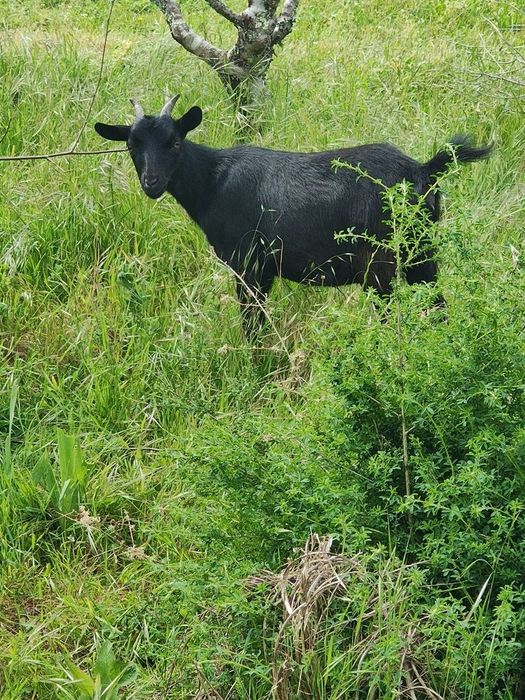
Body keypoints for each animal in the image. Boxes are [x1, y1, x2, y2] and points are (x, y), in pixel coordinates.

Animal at [95, 95, 492, 336]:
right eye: (131, 145)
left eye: (175, 142)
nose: (152, 182)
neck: (213, 182)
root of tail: (423, 170)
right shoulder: (266, 269)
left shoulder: (248, 263)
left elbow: (251, 323)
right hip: (421, 251)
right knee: (438, 304)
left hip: (381, 262)